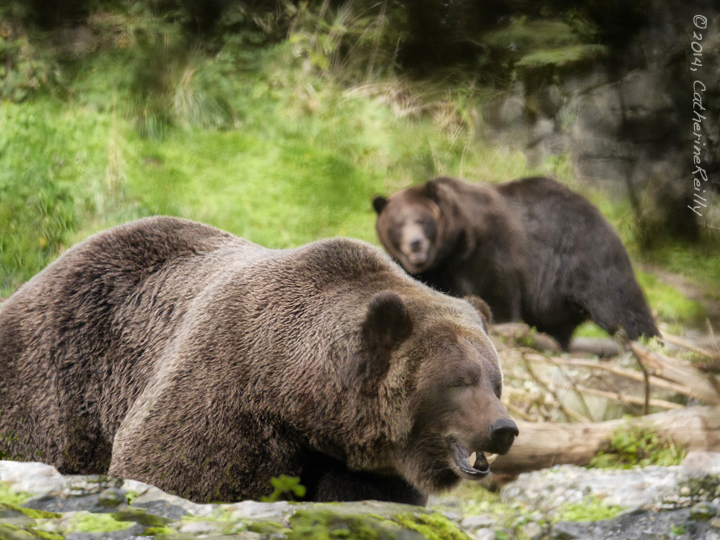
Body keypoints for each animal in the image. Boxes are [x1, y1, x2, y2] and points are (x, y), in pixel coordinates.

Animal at [0, 216, 517, 505]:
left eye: (495, 382)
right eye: (460, 380)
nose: (503, 429)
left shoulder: (358, 466)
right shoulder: (227, 391)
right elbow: (176, 469)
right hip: (59, 376)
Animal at [373, 176, 659, 350]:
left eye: (422, 220)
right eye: (398, 224)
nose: (415, 244)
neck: (453, 248)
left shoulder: (489, 247)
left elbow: (495, 289)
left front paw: (499, 324)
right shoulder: (436, 271)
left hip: (585, 257)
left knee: (620, 303)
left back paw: (648, 341)